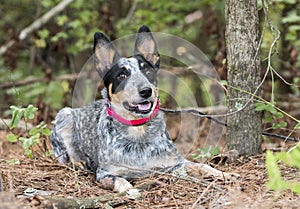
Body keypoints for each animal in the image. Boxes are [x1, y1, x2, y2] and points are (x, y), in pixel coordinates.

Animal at [50, 25, 236, 193]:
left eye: (147, 71)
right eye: (121, 75)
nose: (146, 91)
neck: (138, 130)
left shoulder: (176, 163)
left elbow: (202, 166)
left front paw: (224, 174)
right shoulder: (105, 173)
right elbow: (119, 180)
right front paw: (129, 190)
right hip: (64, 115)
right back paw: (79, 162)